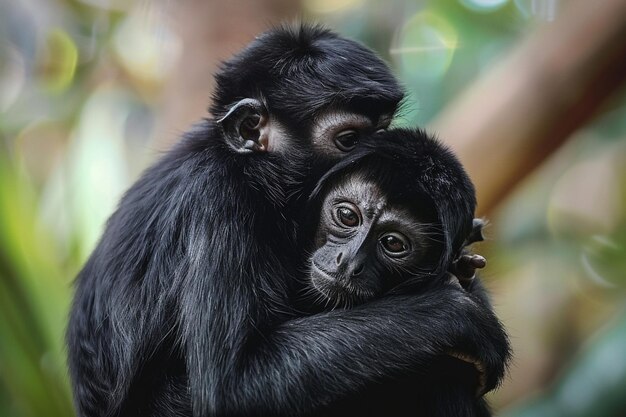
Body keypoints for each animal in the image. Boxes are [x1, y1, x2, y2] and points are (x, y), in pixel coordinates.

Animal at [67, 24, 508, 414]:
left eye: (380, 130)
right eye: (350, 140)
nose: (376, 155)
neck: (242, 165)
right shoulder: (219, 202)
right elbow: (232, 387)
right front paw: (463, 314)